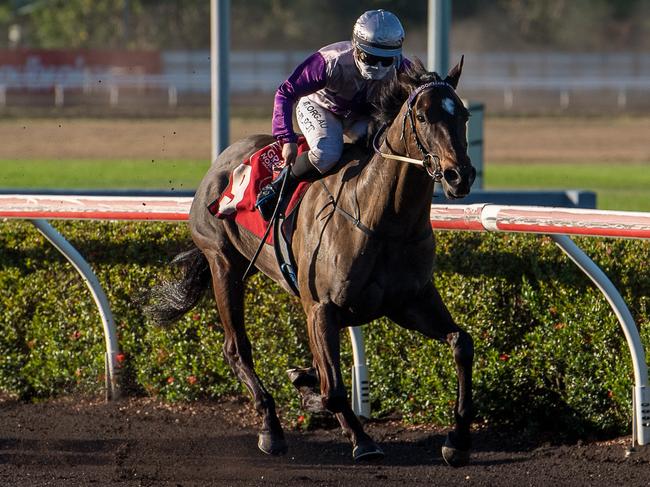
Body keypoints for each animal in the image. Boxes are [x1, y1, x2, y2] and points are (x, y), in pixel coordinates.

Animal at [144, 59, 474, 468]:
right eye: (424, 116)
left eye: (463, 114)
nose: (459, 175)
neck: (383, 220)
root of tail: (223, 161)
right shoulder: (321, 307)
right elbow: (333, 389)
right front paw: (360, 438)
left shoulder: (410, 301)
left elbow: (462, 344)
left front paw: (457, 439)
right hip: (223, 264)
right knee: (237, 349)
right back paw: (271, 429)